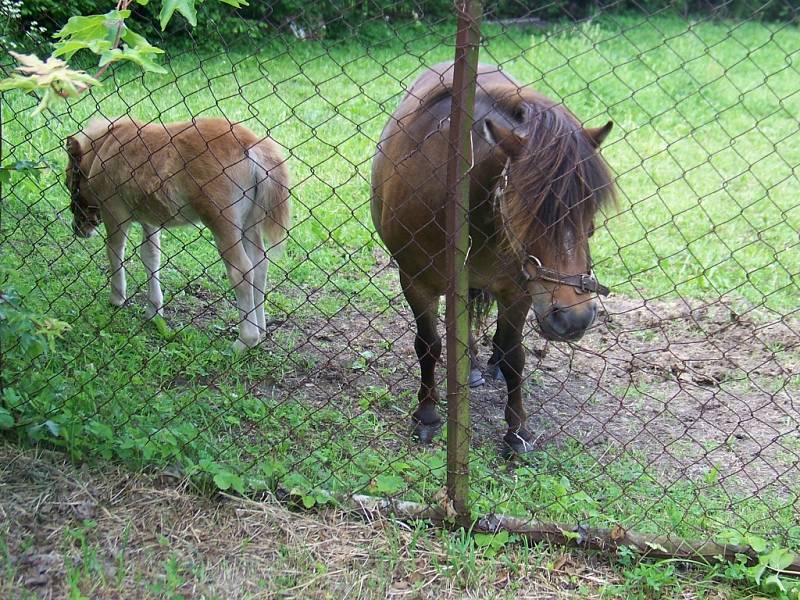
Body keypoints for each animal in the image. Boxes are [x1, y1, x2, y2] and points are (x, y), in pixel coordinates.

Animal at [65, 116, 290, 352]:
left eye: (70, 182)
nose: (78, 227)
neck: (104, 148)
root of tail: (252, 144)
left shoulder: (114, 212)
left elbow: (115, 251)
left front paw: (116, 299)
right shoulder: (150, 219)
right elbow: (150, 256)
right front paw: (153, 311)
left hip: (222, 221)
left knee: (241, 270)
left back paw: (244, 341)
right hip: (249, 223)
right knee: (260, 263)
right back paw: (261, 330)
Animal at [372, 63, 616, 452]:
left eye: (590, 211)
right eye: (526, 209)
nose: (574, 318)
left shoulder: (518, 289)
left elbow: (515, 354)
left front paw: (517, 430)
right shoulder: (415, 280)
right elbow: (428, 346)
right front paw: (426, 415)